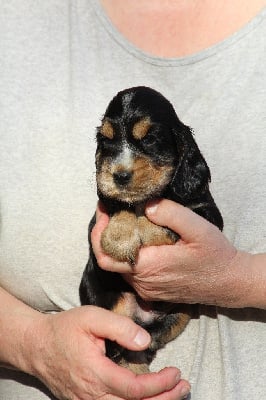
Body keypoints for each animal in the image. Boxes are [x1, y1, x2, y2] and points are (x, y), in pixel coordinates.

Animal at [79, 86, 224, 374]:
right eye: (106, 141)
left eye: (150, 138)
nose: (119, 175)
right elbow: (120, 205)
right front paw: (120, 239)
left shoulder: (208, 215)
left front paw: (148, 228)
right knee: (120, 348)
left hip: (180, 313)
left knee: (145, 344)